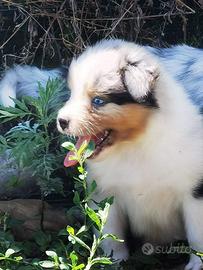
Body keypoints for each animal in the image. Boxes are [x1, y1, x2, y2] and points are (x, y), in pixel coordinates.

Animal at [56, 40, 203, 270]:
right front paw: (112, 261)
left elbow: (197, 234)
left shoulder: (194, 194)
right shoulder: (105, 195)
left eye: (98, 101)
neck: (134, 144)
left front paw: (197, 264)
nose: (61, 121)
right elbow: (109, 233)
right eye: (72, 94)